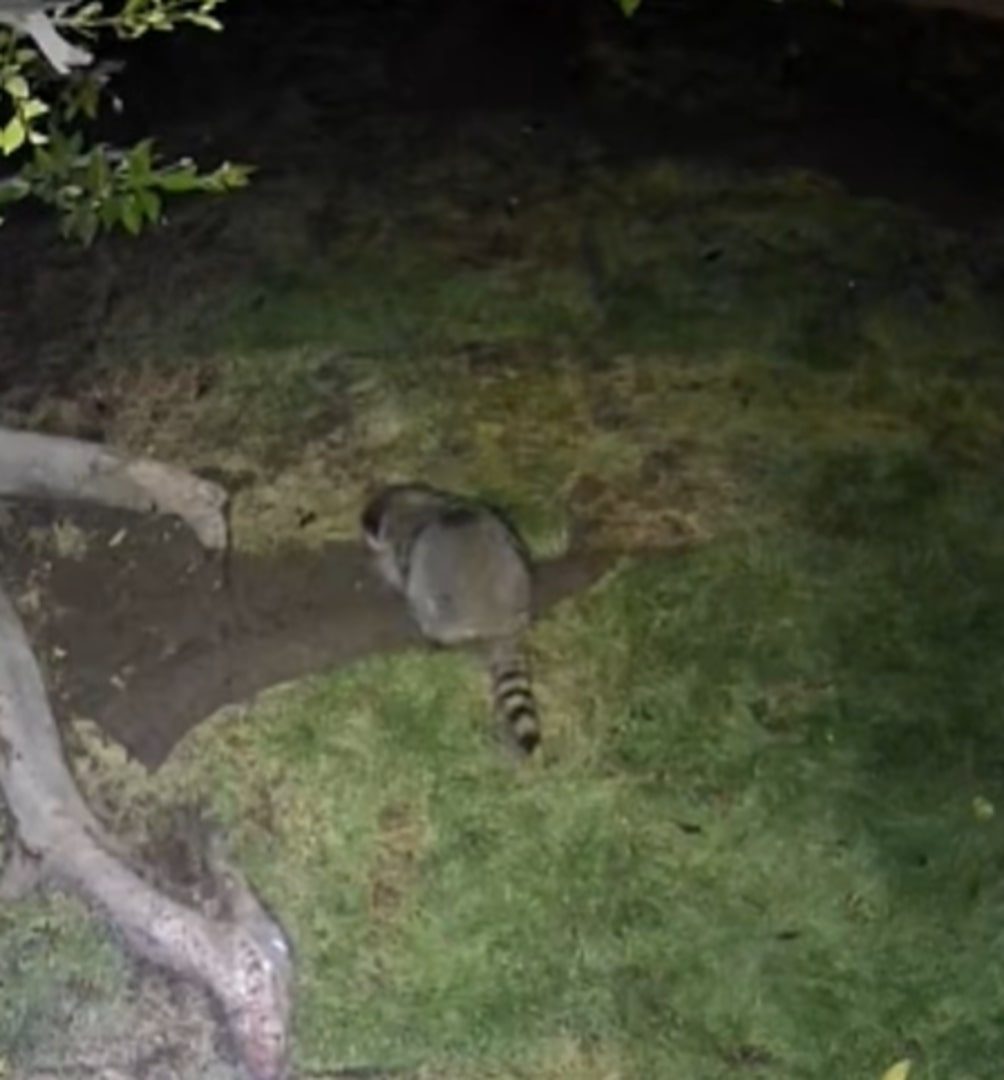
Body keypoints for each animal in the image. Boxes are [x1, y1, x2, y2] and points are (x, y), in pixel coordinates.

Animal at [360, 482, 540, 756]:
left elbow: (403, 575)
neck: (413, 504)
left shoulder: (406, 549)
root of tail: (502, 623)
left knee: (426, 603)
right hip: (518, 571)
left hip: (446, 608)